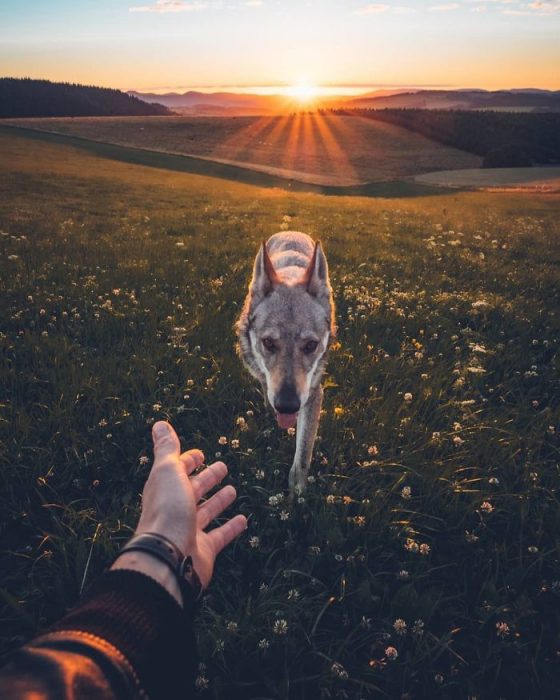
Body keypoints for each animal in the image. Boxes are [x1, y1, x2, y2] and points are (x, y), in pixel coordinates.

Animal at [235, 231, 332, 492]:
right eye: (269, 343)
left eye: (310, 346)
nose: (287, 406)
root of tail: (291, 232)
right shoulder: (264, 377)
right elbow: (267, 391)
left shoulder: (313, 393)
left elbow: (302, 458)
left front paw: (295, 497)